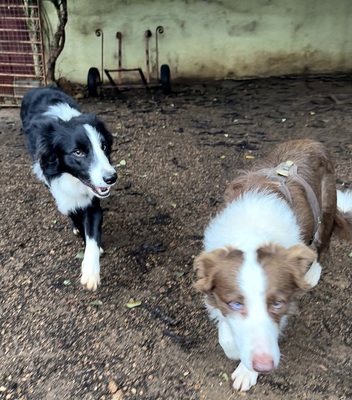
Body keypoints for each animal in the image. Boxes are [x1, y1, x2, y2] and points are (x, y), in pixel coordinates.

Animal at [20, 88, 117, 290]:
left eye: (104, 147)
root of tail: (37, 88)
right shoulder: (60, 190)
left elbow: (92, 234)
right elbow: (75, 216)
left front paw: (90, 272)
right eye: (78, 152)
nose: (111, 178)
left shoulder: (93, 202)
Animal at [195, 140, 352, 390]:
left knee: (322, 245)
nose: (264, 366)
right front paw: (235, 348)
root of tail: (311, 141)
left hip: (326, 207)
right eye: (236, 303)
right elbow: (226, 333)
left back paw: (313, 271)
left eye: (278, 303)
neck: (251, 233)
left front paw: (246, 372)